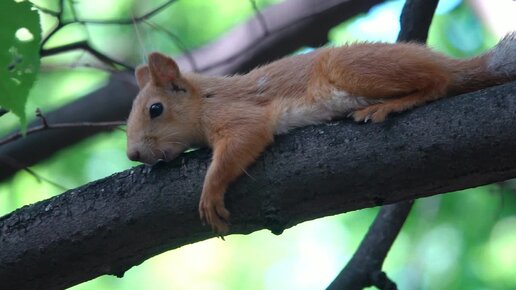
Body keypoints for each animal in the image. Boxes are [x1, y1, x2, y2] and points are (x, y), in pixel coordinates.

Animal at [126, 33, 516, 233]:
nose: (133, 154)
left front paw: (210, 192)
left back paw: (390, 104)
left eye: (155, 109)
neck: (203, 98)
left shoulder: (239, 115)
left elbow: (244, 138)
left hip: (349, 68)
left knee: (439, 81)